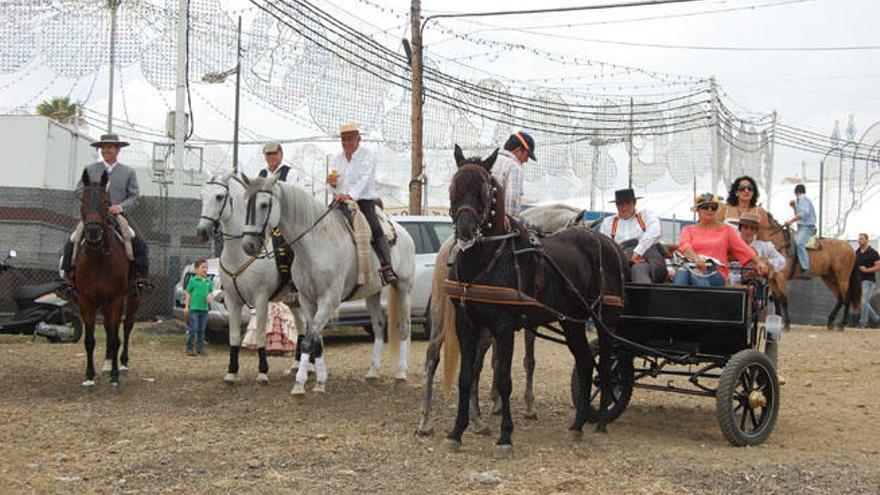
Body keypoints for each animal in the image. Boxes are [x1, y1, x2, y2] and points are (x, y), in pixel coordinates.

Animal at [75, 170, 140, 392]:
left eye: (106, 201)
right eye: (83, 199)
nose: (93, 232)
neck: (98, 259)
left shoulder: (116, 300)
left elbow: (114, 338)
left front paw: (114, 376)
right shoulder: (86, 300)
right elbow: (90, 340)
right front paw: (89, 376)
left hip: (133, 298)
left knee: (127, 326)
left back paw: (123, 364)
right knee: (108, 328)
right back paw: (106, 363)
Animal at [237, 174, 416, 396]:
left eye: (264, 204)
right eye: (245, 204)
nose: (248, 245)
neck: (316, 244)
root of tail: (404, 233)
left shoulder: (328, 300)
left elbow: (307, 342)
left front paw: (299, 384)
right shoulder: (307, 301)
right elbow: (317, 342)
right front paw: (320, 383)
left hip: (404, 288)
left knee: (405, 327)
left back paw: (401, 373)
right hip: (372, 294)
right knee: (379, 327)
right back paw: (373, 372)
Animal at [444, 146, 628, 458]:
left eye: (485, 189)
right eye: (453, 185)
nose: (466, 230)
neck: (488, 259)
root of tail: (609, 244)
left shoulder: (504, 326)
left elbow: (505, 380)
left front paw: (505, 436)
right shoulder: (466, 324)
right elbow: (466, 377)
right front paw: (457, 432)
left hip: (605, 321)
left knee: (604, 367)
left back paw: (601, 421)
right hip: (573, 322)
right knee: (585, 363)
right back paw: (578, 425)